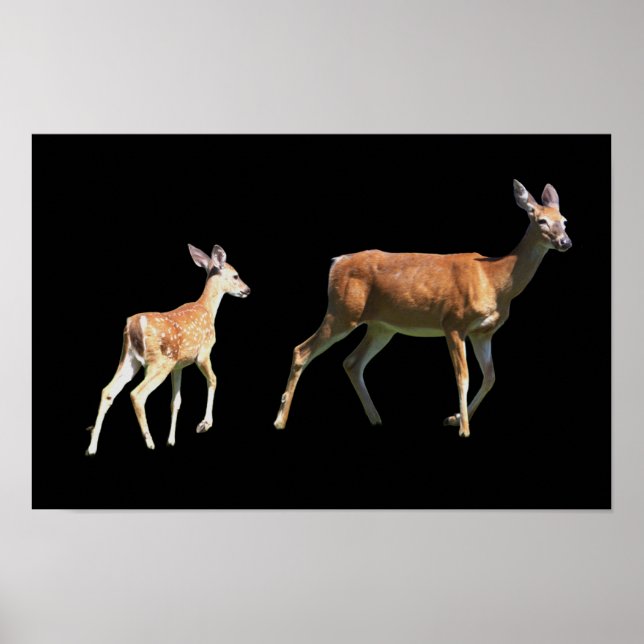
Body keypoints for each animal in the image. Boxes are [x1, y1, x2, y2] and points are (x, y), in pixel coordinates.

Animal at [85, 244, 250, 456]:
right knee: (137, 394)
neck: (207, 309)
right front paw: (204, 424)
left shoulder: (179, 366)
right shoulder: (203, 352)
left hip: (129, 359)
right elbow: (214, 379)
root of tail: (135, 323)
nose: (247, 289)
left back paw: (92, 447)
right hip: (159, 362)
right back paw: (150, 442)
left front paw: (171, 441)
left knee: (107, 390)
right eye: (236, 276)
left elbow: (176, 401)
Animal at [274, 180, 572, 437]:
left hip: (381, 326)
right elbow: (463, 377)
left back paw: (375, 418)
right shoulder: (453, 322)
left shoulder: (483, 332)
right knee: (302, 350)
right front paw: (464, 429)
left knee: (352, 361)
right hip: (343, 311)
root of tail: (337, 262)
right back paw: (280, 421)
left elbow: (490, 377)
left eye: (565, 220)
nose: (565, 242)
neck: (496, 280)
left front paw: (454, 419)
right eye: (541, 220)